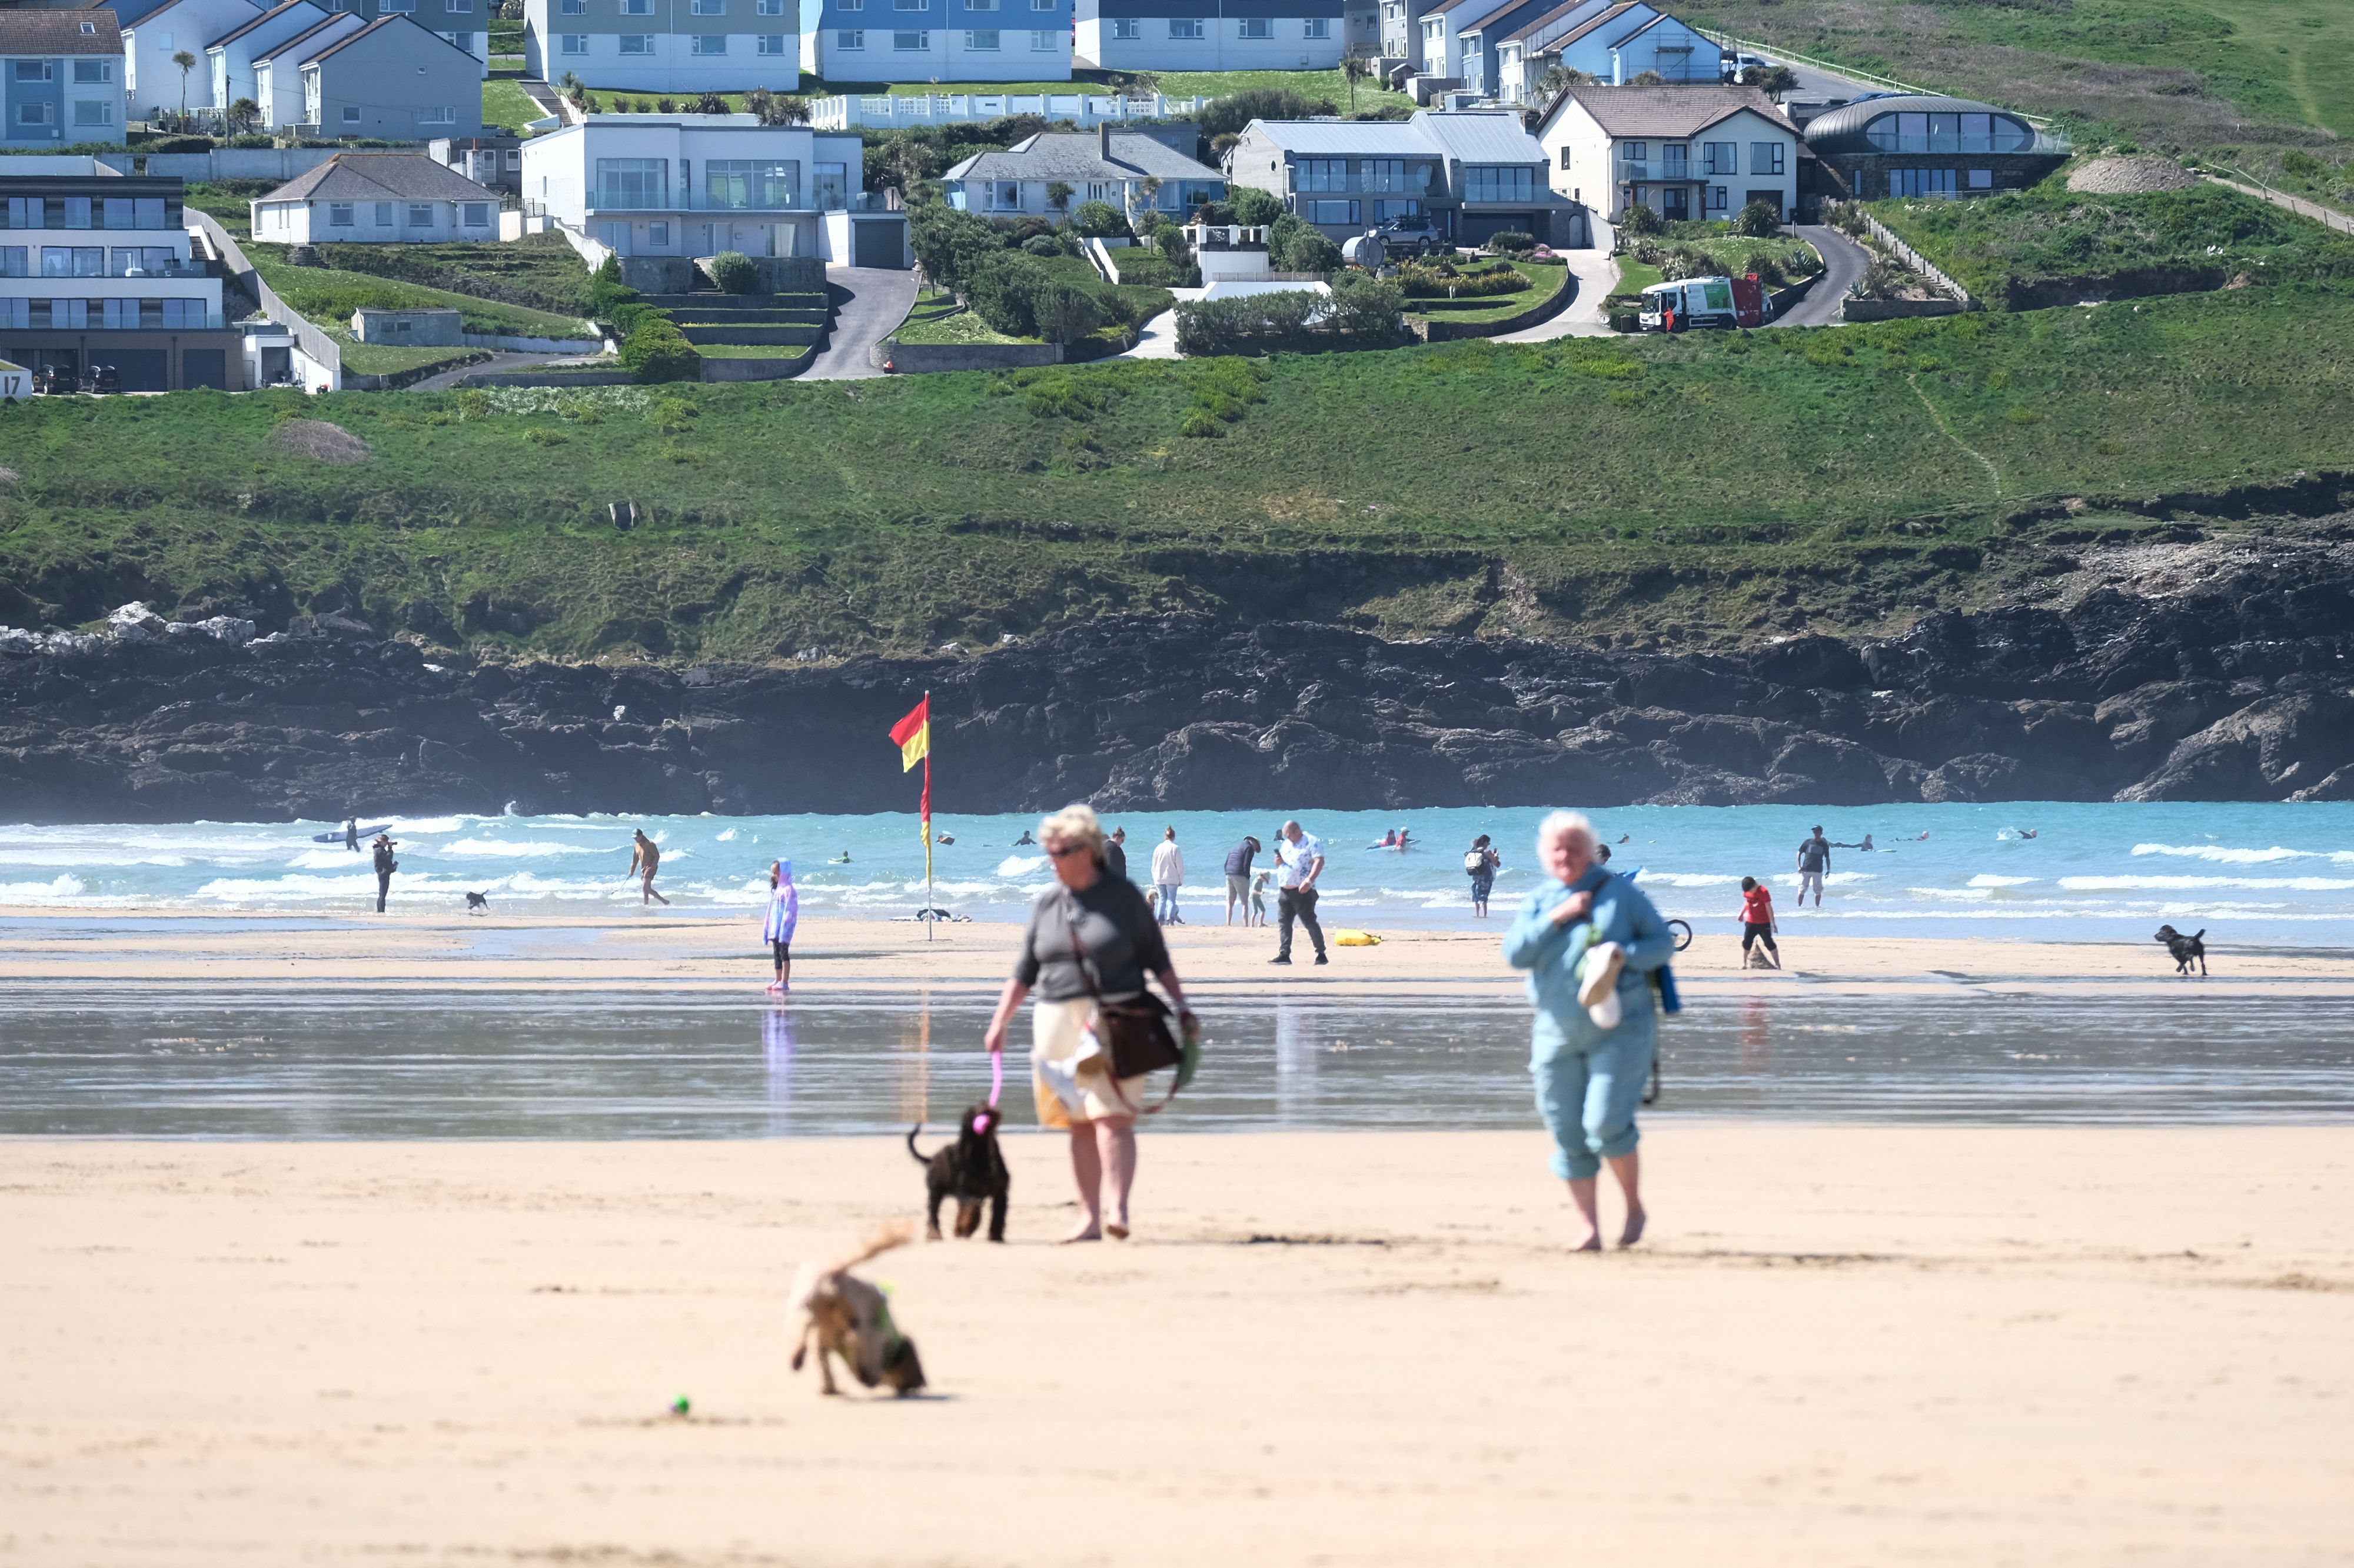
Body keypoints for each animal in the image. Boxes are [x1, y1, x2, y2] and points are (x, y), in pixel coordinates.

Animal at [904, 1106, 1008, 1243]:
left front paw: (995, 1236)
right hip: (935, 1192)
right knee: (933, 1212)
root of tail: (932, 1159)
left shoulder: (1000, 1192)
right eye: (971, 1113)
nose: (985, 1111)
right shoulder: (965, 1192)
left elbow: (998, 1214)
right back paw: (934, 1234)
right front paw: (962, 1230)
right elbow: (970, 1208)